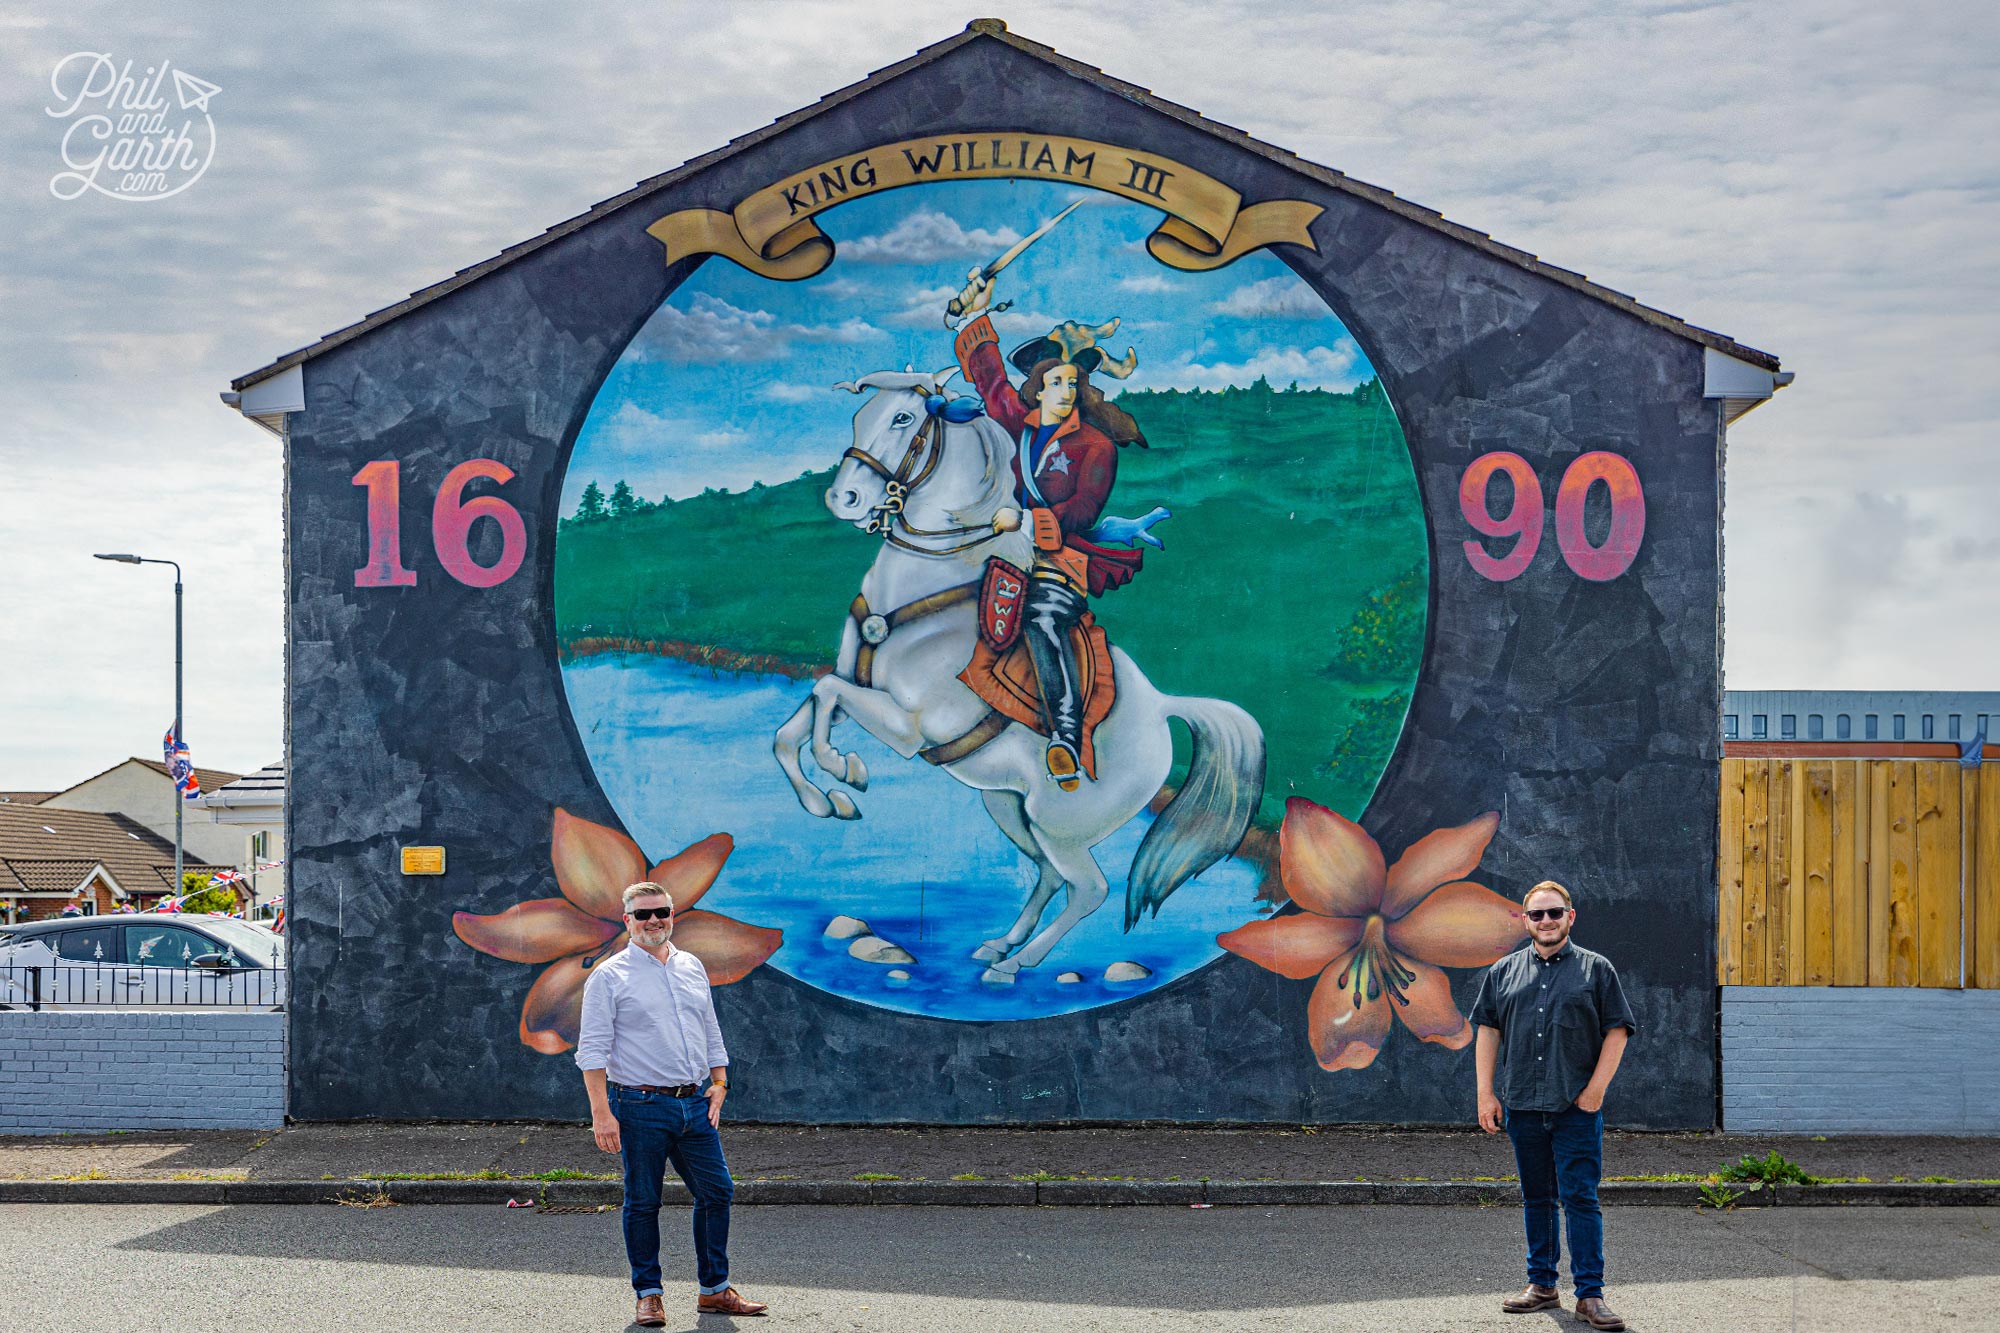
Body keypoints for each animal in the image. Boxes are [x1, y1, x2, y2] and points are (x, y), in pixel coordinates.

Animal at [768, 364, 1264, 976]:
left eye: (903, 417)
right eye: (860, 416)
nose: (843, 498)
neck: (925, 590)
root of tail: (1162, 707)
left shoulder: (908, 726)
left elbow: (825, 697)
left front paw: (846, 771)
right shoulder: (857, 689)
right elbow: (801, 717)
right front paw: (825, 799)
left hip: (1060, 825)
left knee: (1089, 888)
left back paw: (1015, 964)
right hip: (1009, 806)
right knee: (1049, 875)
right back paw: (1001, 944)